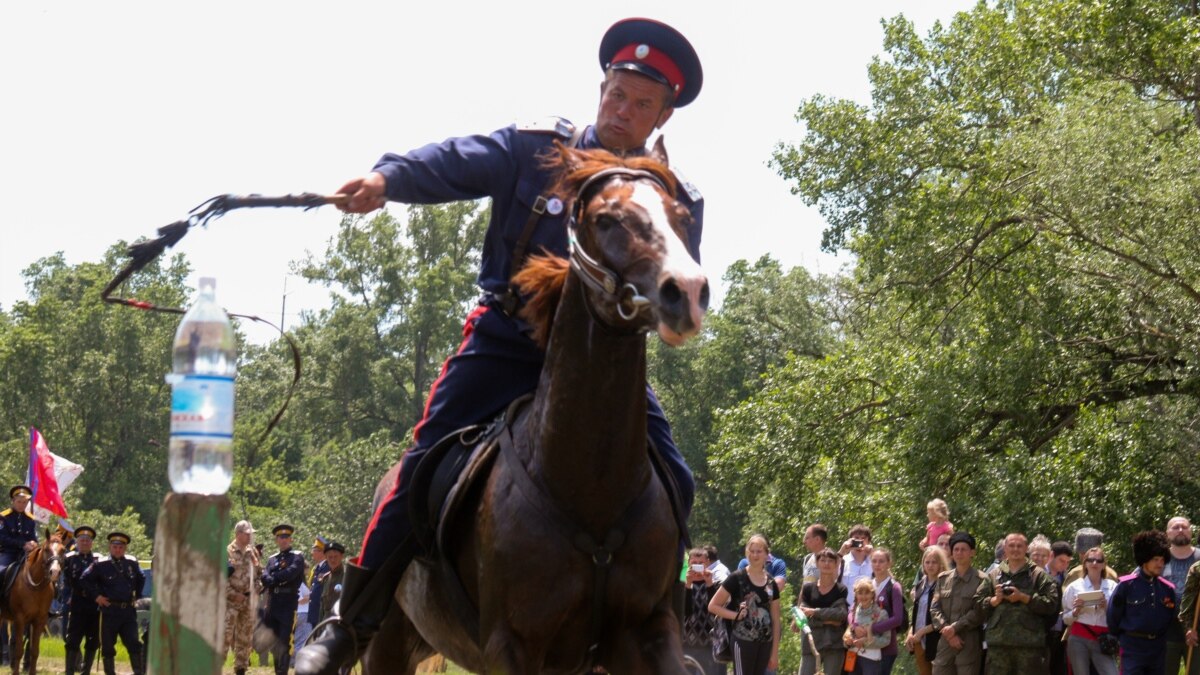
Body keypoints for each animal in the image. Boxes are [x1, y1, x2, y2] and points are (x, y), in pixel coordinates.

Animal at [0, 530, 64, 672]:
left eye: (63, 550)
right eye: (46, 549)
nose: (55, 572)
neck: (35, 587)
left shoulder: (39, 620)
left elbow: (34, 651)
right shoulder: (20, 619)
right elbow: (19, 651)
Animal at [360, 139, 705, 667]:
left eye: (683, 217)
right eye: (606, 219)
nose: (685, 291)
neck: (590, 489)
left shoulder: (648, 630)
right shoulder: (512, 643)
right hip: (388, 641)